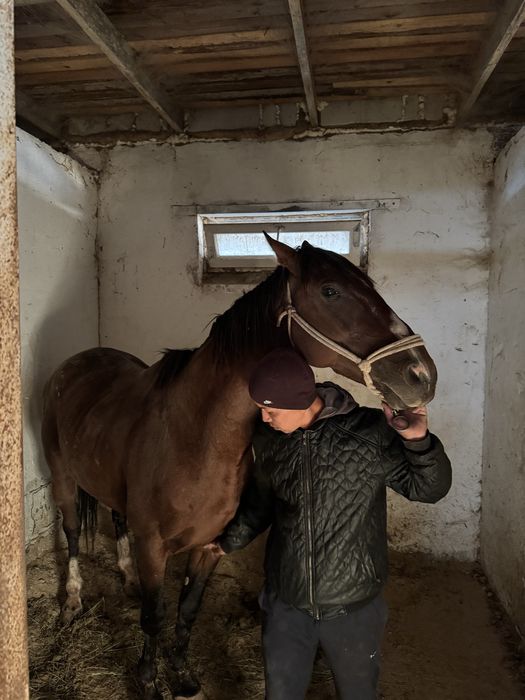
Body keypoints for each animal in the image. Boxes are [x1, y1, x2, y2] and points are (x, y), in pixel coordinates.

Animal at [41, 234, 436, 699]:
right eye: (330, 291)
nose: (421, 374)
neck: (192, 438)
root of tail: (76, 361)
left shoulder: (209, 545)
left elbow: (188, 610)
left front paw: (183, 675)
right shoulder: (153, 547)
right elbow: (154, 617)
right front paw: (149, 681)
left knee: (117, 521)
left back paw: (127, 579)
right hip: (63, 478)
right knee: (70, 534)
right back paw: (72, 600)